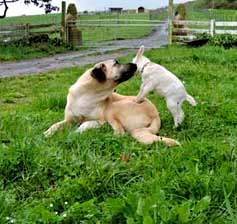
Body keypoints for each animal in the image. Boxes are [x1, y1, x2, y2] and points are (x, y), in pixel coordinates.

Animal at [43, 58, 179, 146]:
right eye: (116, 63)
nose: (135, 64)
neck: (87, 95)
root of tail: (156, 115)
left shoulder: (101, 120)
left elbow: (85, 123)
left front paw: (76, 132)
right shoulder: (69, 120)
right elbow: (55, 125)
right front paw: (46, 134)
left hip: (114, 108)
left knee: (120, 133)